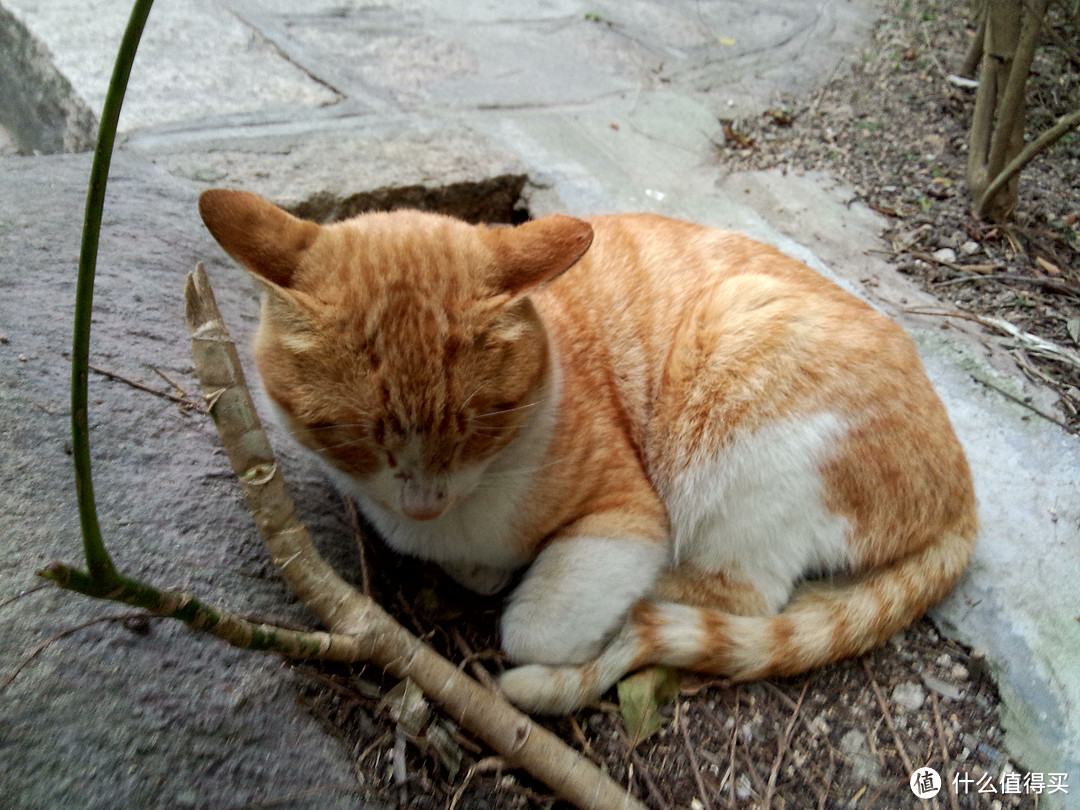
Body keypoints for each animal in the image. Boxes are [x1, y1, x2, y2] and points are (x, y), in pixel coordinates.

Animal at [198, 190, 976, 717]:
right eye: (354, 434)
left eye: (481, 422)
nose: (425, 501)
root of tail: (965, 488)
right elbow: (470, 569)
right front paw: (473, 565)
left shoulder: (628, 513)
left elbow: (530, 629)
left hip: (749, 402)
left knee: (743, 596)